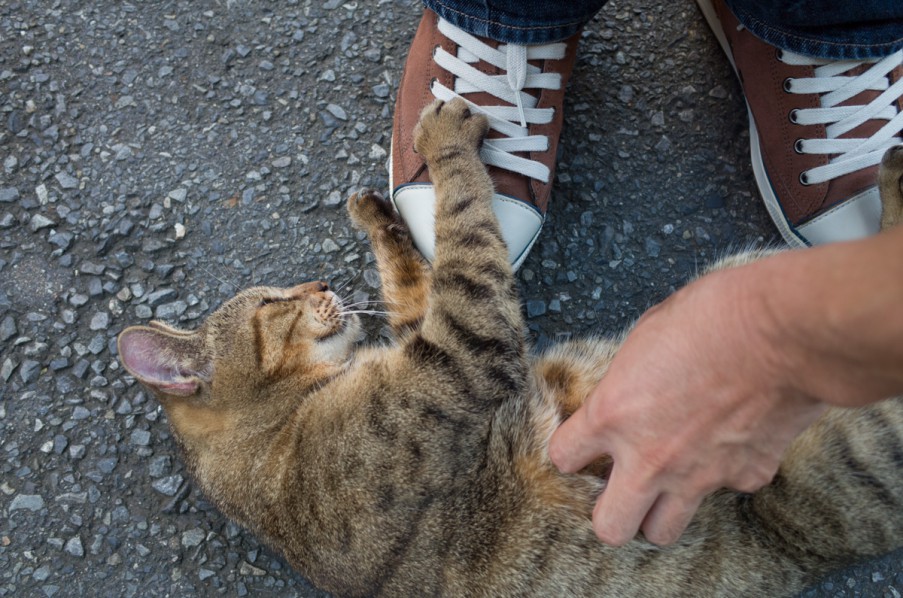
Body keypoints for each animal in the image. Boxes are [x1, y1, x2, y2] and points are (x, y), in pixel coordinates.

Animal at [120, 101, 903, 596]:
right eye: (271, 302)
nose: (317, 281)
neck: (276, 433)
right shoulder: (464, 350)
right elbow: (466, 228)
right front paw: (445, 148)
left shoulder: (427, 331)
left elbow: (418, 272)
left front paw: (377, 215)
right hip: (849, 443)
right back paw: (893, 171)